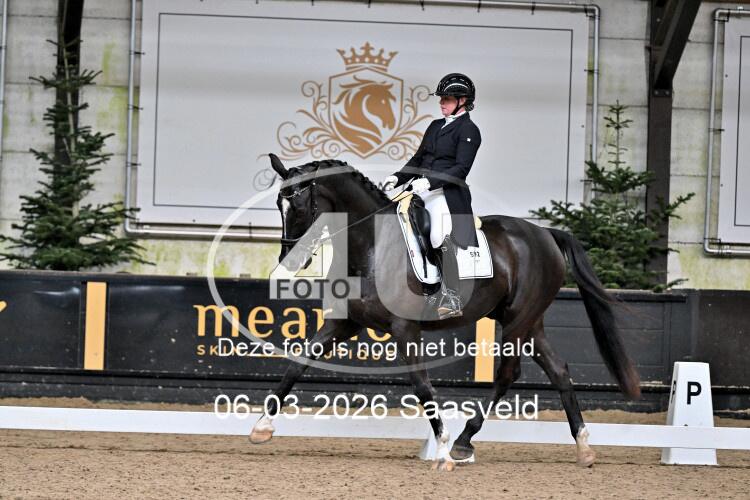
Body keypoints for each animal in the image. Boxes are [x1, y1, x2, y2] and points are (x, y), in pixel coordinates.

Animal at [250, 155, 641, 471]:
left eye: (300, 207)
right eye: (279, 205)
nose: (289, 263)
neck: (371, 247)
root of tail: (545, 232)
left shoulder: (405, 329)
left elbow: (422, 387)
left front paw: (440, 448)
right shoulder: (344, 323)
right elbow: (298, 363)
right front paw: (261, 427)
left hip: (518, 319)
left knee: (508, 374)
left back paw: (463, 443)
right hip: (530, 322)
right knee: (558, 370)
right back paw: (584, 448)